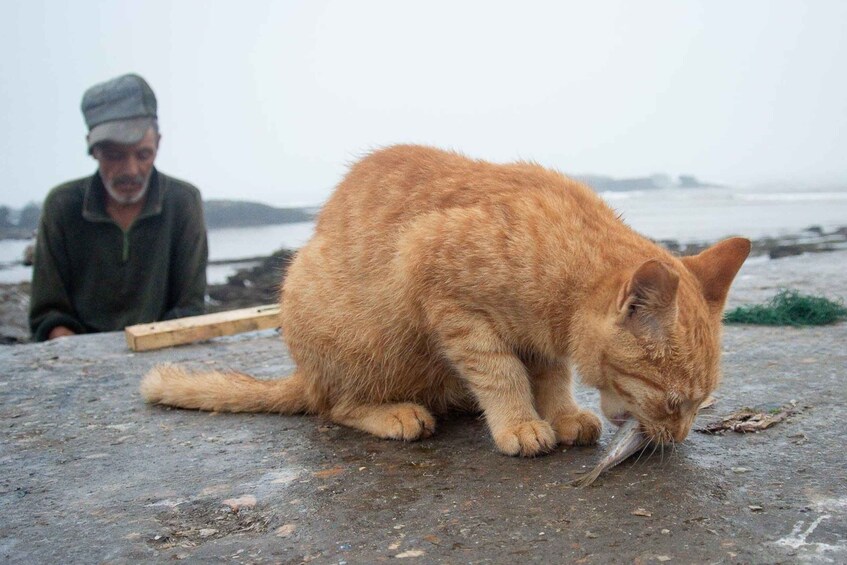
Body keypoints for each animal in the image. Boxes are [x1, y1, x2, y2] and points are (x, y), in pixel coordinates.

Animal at [142, 144, 752, 454]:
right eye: (674, 402)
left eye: (700, 403)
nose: (678, 440)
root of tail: (303, 371)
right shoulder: (447, 296)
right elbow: (502, 373)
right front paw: (519, 422)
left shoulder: (545, 342)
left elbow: (551, 375)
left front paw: (560, 413)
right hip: (350, 337)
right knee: (332, 405)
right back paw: (394, 413)